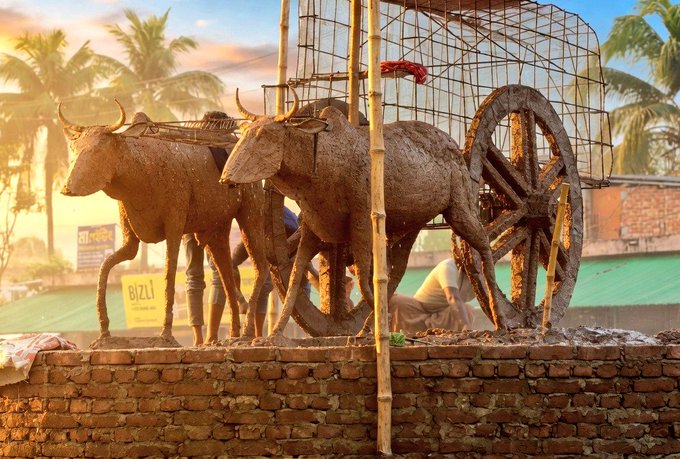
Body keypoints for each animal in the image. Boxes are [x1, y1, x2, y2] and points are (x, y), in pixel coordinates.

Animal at [58, 101, 269, 342]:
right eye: (74, 149)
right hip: (216, 229)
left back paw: (247, 331)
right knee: (226, 276)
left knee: (260, 268)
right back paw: (229, 333)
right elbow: (104, 267)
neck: (139, 167)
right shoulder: (131, 239)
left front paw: (166, 333)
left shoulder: (174, 226)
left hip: (251, 213)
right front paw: (104, 330)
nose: (67, 188)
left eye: (96, 151)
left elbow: (169, 274)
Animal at [221, 89, 518, 339]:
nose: (226, 178)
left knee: (484, 246)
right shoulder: (313, 230)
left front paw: (379, 325)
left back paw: (501, 319)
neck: (319, 165)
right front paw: (274, 333)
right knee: (395, 273)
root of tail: (455, 146)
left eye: (265, 134)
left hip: (460, 208)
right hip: (411, 227)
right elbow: (295, 279)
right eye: (245, 132)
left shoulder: (361, 220)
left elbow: (365, 279)